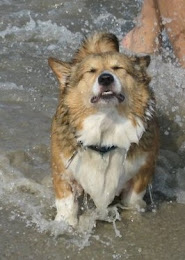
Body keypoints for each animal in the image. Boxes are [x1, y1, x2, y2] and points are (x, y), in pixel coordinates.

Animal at [48, 32, 159, 226]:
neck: (106, 124)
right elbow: (66, 205)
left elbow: (132, 201)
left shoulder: (141, 174)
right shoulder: (63, 173)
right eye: (91, 71)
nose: (105, 78)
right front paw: (64, 224)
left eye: (118, 68)